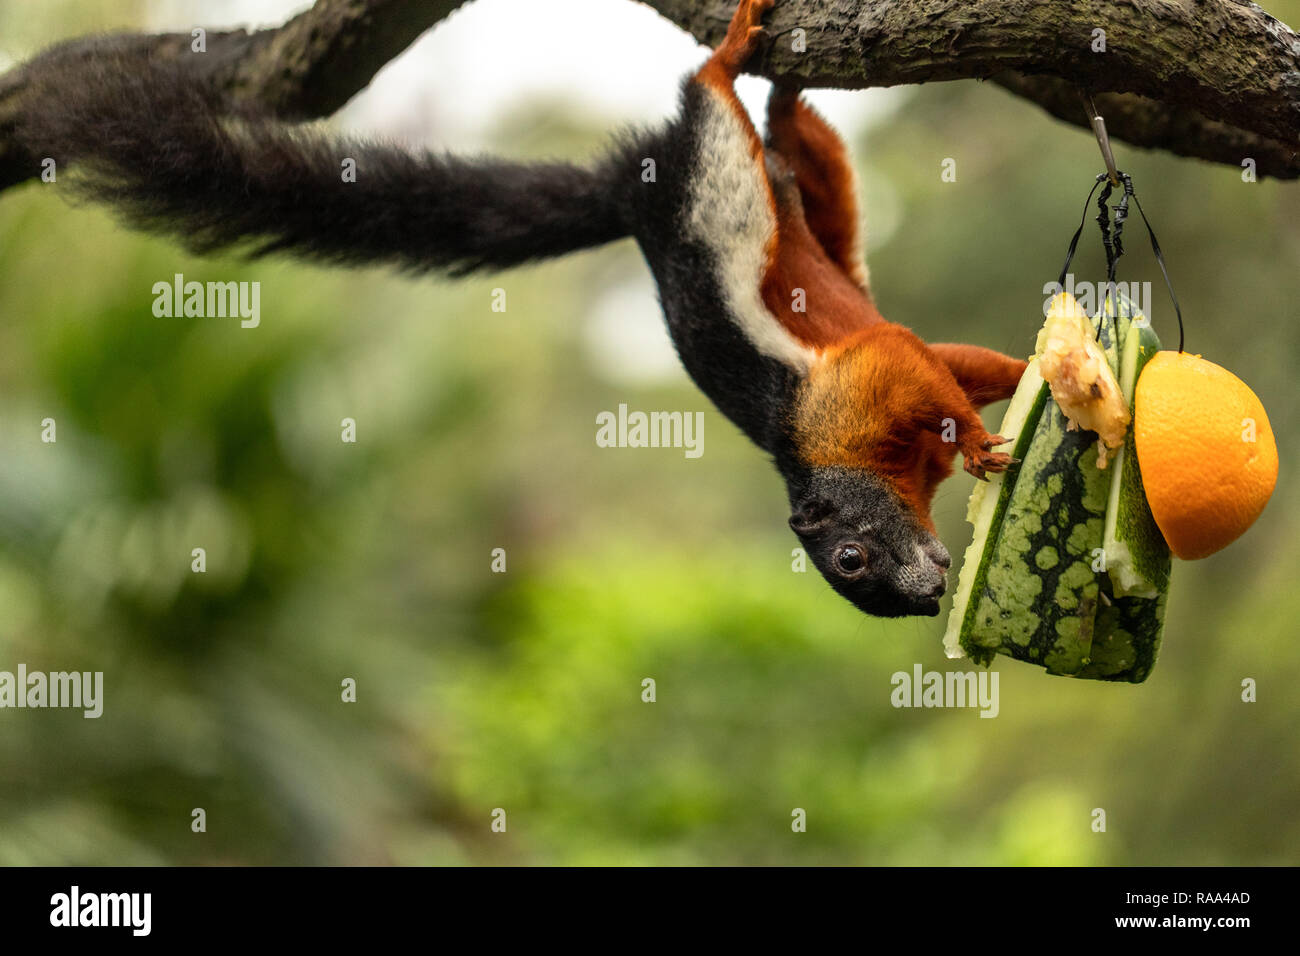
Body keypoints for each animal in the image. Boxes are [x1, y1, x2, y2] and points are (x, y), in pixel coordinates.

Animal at [14, 0, 1026, 618]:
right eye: (853, 573)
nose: (927, 596)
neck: (852, 466)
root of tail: (632, 191)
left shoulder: (860, 387)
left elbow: (938, 367)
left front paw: (994, 424)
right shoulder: (880, 395)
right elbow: (946, 361)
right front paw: (1013, 405)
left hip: (709, 181)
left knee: (717, 104)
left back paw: (737, 55)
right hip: (808, 219)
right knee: (796, 144)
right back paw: (778, 85)